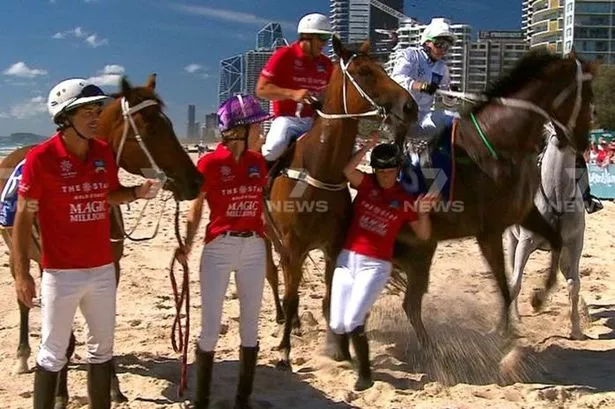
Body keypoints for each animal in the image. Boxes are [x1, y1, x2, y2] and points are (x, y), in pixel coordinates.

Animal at [0, 74, 205, 408]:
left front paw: (113, 388)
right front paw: (61, 394)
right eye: (151, 128)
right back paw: (22, 356)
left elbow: (104, 331)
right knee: (23, 301)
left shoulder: (111, 270)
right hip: (18, 257)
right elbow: (65, 339)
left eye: (170, 124)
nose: (196, 181)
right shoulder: (53, 273)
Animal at [264, 35, 418, 368]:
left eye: (382, 66)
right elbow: (291, 294)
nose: (410, 106)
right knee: (274, 274)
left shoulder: (332, 246)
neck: (319, 168)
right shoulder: (293, 243)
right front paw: (284, 351)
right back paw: (283, 319)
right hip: (268, 235)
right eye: (364, 71)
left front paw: (340, 347)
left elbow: (330, 295)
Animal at [508, 122, 588, 340]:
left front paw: (576, 329)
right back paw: (516, 317)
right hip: (512, 240)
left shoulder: (574, 244)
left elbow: (573, 284)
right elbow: (516, 282)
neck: (557, 197)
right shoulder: (525, 243)